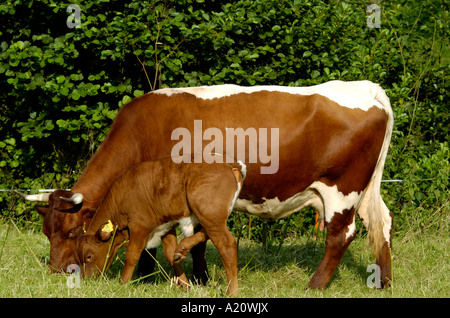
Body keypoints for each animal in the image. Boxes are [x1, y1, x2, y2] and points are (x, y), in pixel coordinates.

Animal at [78, 157, 246, 296]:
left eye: (89, 256)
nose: (87, 279)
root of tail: (229, 164)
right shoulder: (166, 227)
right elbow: (169, 254)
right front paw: (186, 286)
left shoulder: (140, 226)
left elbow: (132, 255)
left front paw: (122, 284)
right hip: (209, 216)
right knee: (204, 234)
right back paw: (182, 248)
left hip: (210, 215)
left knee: (227, 245)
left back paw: (232, 292)